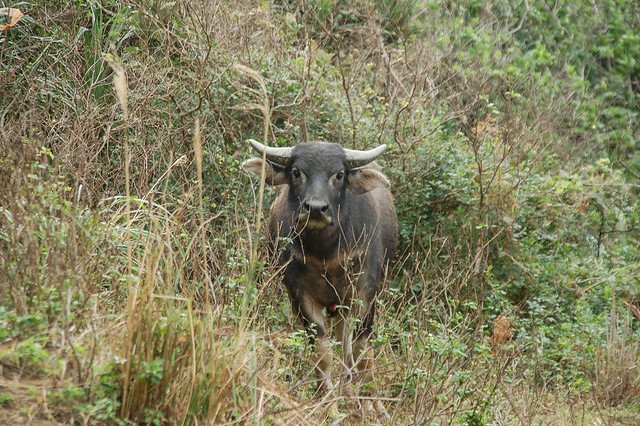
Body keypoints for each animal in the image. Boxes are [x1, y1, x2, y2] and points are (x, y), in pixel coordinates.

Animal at [242, 140, 398, 410]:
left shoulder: (365, 295)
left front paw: (369, 402)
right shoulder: (300, 297)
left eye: (339, 174)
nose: (315, 208)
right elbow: (323, 353)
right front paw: (328, 403)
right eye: (296, 172)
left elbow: (360, 350)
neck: (326, 255)